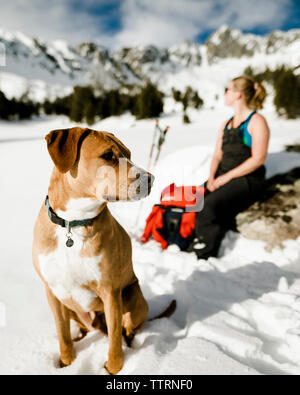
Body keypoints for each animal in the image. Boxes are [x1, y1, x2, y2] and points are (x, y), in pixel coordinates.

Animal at [32, 127, 162, 374]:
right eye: (108, 156)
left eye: (129, 154)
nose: (151, 178)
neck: (72, 223)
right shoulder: (52, 291)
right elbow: (62, 334)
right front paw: (66, 363)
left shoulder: (110, 291)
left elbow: (114, 340)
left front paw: (113, 368)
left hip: (133, 298)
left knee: (126, 330)